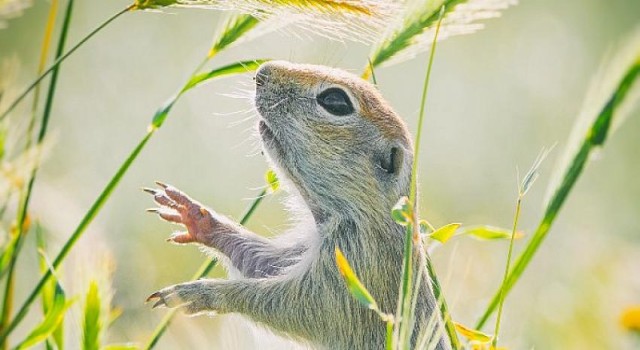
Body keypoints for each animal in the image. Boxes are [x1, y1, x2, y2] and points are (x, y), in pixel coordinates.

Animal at [146, 60, 450, 350]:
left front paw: (199, 293)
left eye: (335, 101)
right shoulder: (303, 250)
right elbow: (263, 261)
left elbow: (292, 305)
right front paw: (197, 217)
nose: (261, 72)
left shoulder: (352, 268)